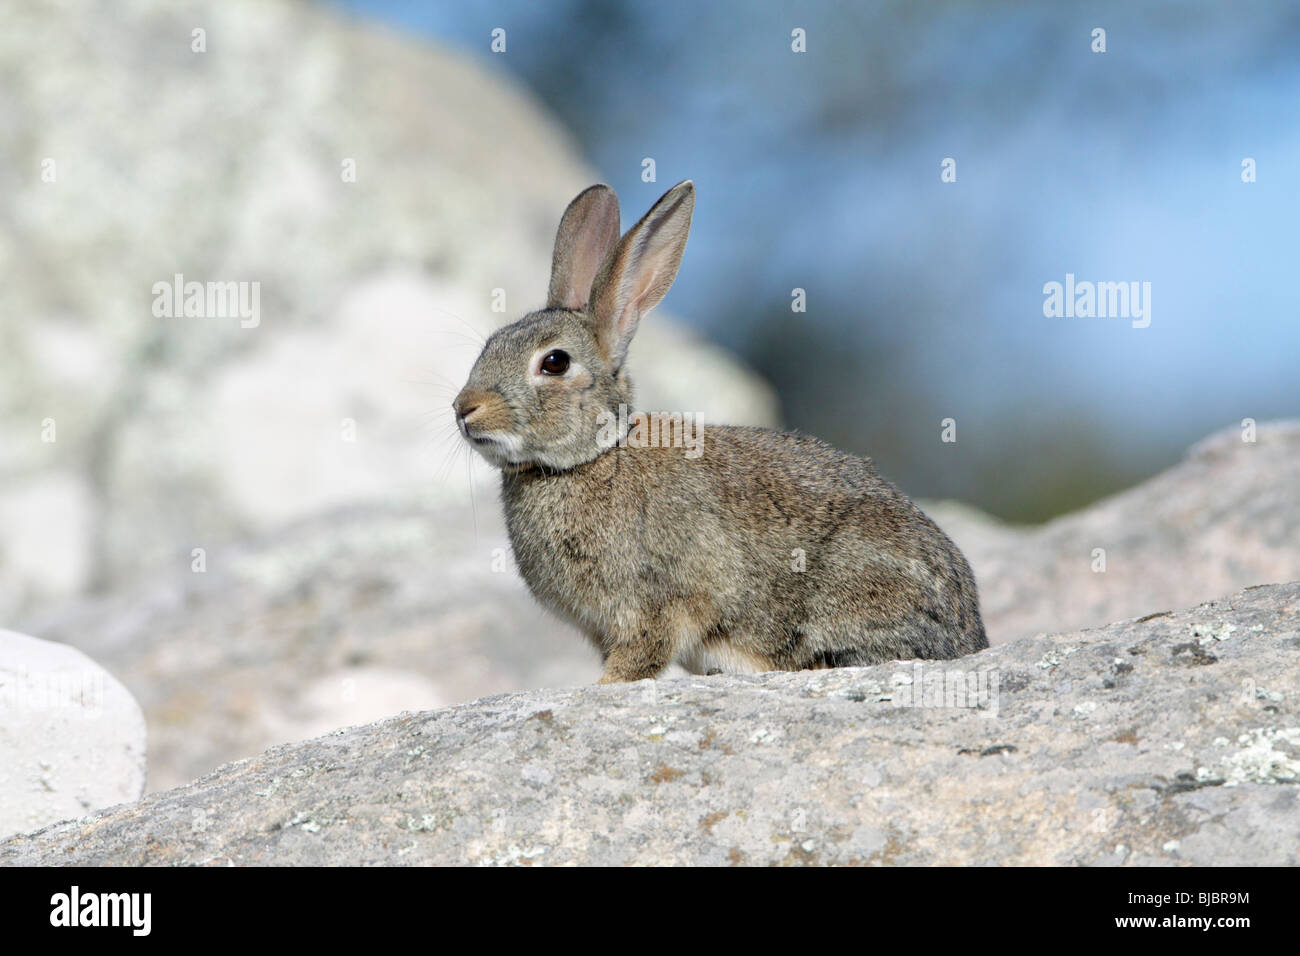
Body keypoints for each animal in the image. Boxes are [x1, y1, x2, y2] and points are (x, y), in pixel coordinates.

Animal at [454, 179, 982, 686]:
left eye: (554, 363)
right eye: (490, 344)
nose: (464, 409)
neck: (590, 459)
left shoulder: (655, 606)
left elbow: (638, 660)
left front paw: (602, 688)